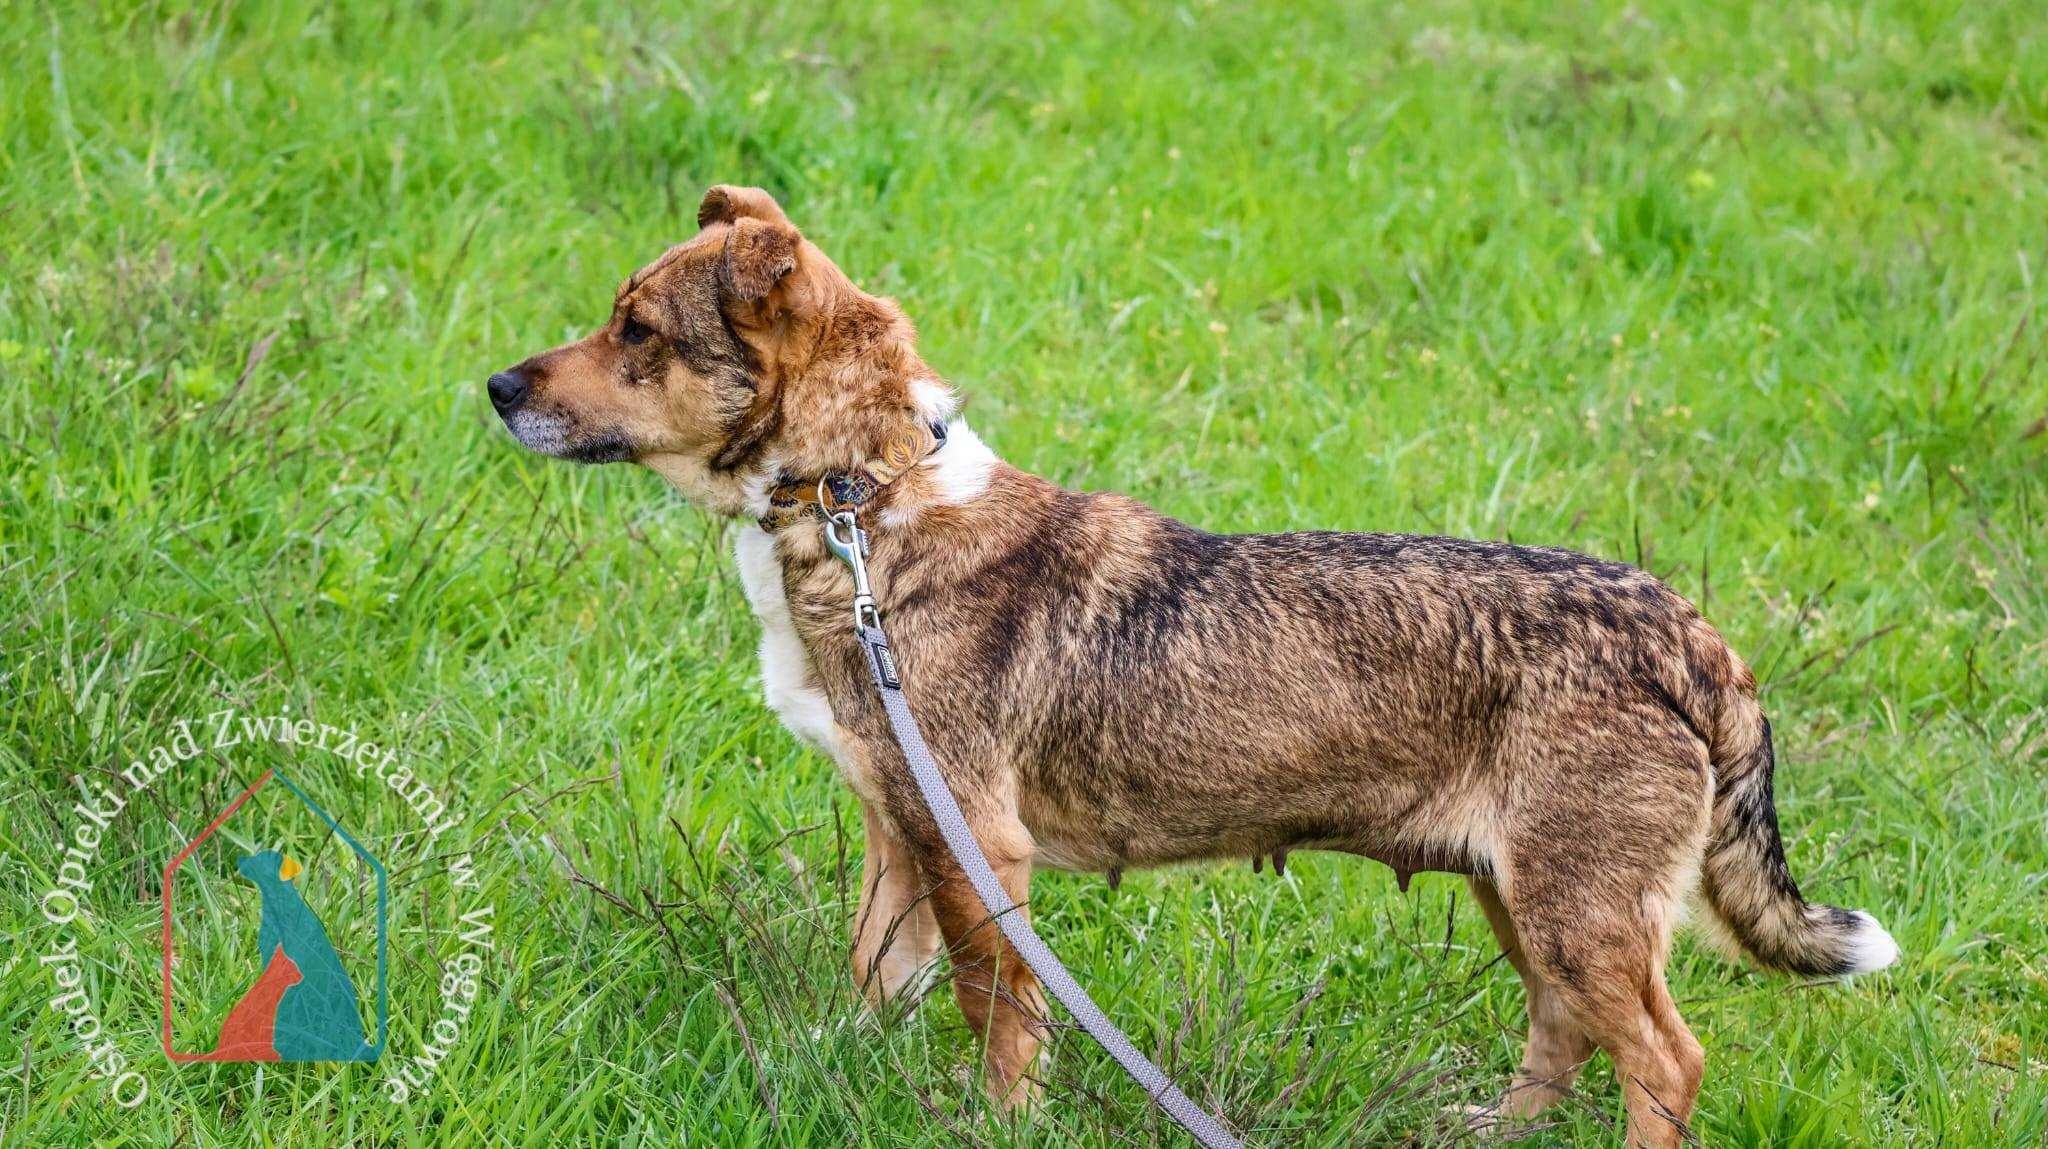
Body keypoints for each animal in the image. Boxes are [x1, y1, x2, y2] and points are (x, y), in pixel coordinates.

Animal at [487, 183, 1892, 1138]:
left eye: (638, 332)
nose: (497, 386)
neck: (864, 502)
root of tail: (1689, 634)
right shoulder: (900, 826)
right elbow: (878, 982)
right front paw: (837, 1077)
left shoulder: (977, 846)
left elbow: (994, 1014)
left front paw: (1001, 1123)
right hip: (1528, 893)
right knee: (1562, 1031)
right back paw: (1491, 1131)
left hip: (1578, 905)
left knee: (1663, 1061)